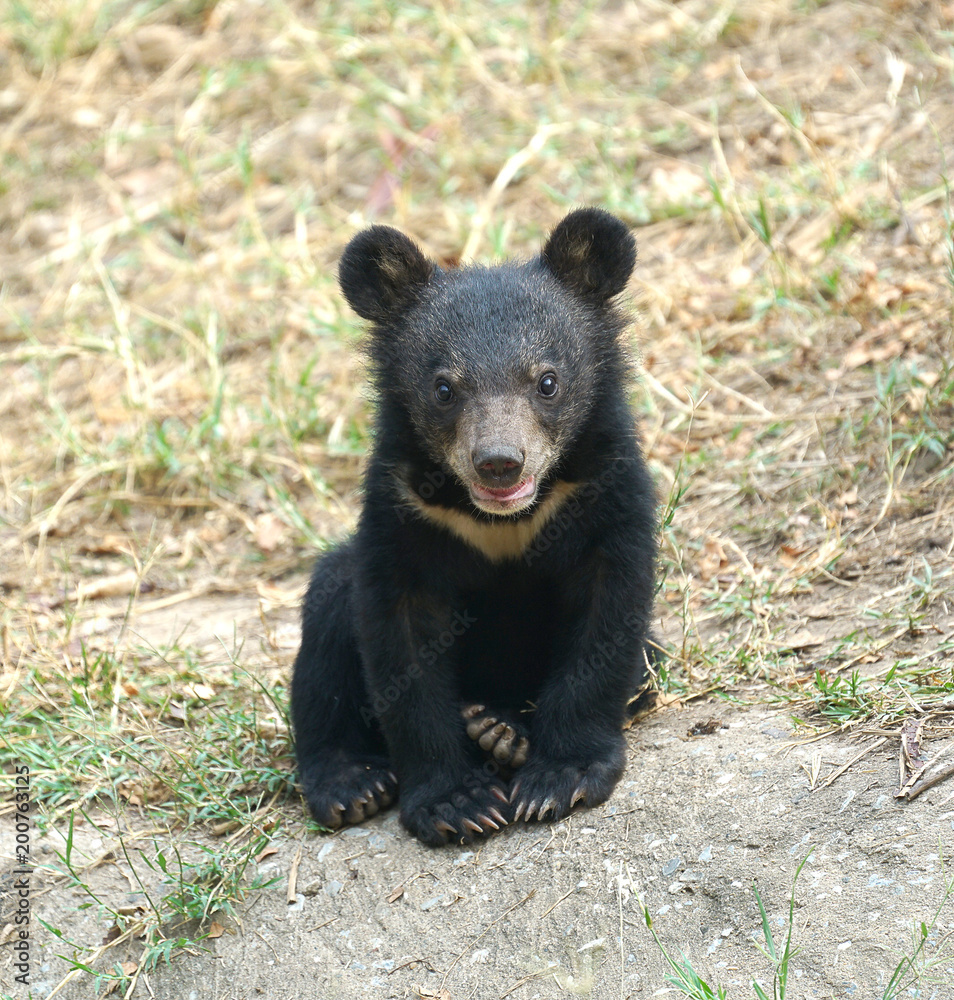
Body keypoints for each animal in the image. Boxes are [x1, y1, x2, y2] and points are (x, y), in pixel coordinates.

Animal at [290, 208, 658, 847]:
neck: (500, 519)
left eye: (547, 381)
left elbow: (606, 618)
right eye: (443, 388)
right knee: (327, 630)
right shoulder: (403, 510)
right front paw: (456, 804)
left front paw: (558, 779)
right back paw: (352, 784)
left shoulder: (606, 492)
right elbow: (402, 642)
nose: (499, 462)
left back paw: (503, 732)